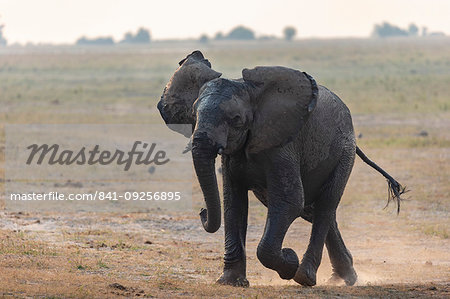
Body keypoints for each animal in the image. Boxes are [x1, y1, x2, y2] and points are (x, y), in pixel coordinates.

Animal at [156, 51, 406, 288]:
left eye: (236, 119)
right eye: (193, 115)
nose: (202, 212)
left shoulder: (282, 145)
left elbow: (289, 200)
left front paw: (290, 262)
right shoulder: (233, 155)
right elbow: (233, 203)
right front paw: (231, 282)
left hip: (344, 152)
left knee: (324, 206)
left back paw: (306, 276)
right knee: (313, 210)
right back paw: (344, 278)